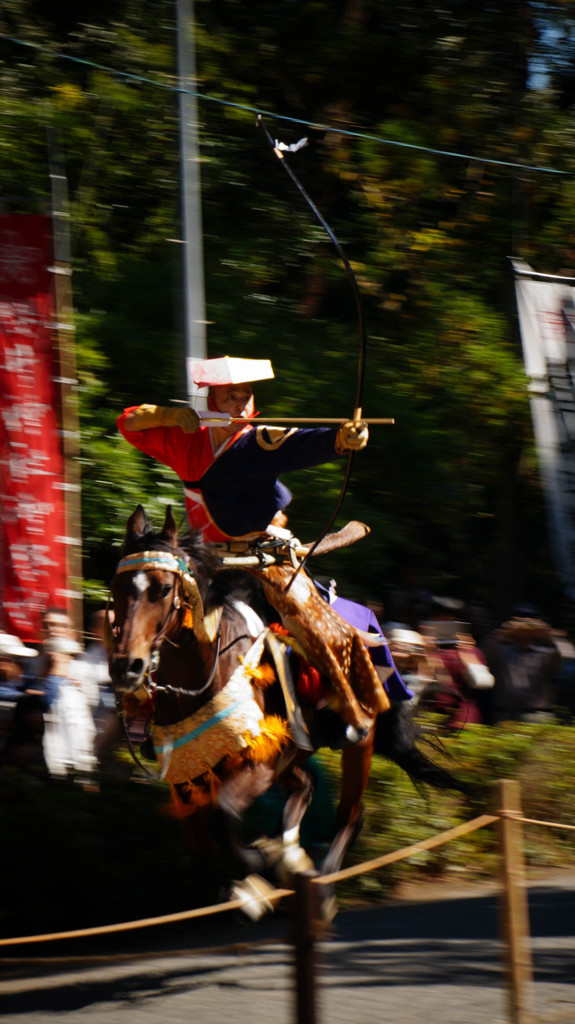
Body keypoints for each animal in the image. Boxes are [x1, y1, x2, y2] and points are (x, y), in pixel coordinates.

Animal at [108, 507, 470, 917]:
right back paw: (292, 857)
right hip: (294, 751)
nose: (127, 667)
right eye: (117, 588)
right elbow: (202, 850)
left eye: (164, 589)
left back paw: (319, 887)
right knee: (307, 785)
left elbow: (224, 816)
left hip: (359, 738)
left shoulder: (259, 760)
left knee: (351, 814)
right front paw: (252, 876)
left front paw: (258, 870)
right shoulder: (189, 776)